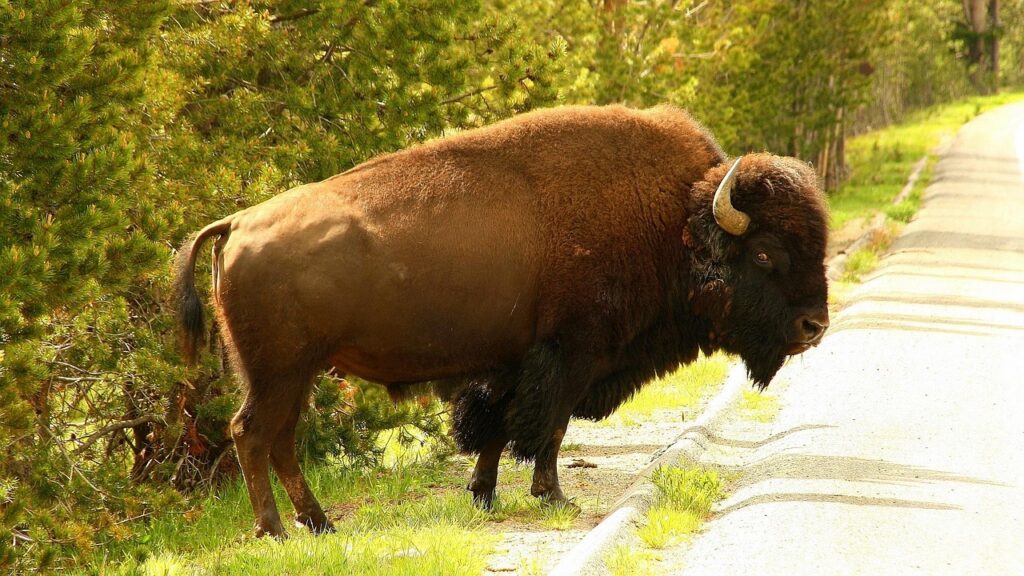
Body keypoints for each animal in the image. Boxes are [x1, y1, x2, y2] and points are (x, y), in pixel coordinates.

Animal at [174, 105, 829, 538]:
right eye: (765, 253)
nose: (814, 327)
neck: (675, 221)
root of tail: (235, 223)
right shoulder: (570, 355)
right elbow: (548, 428)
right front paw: (553, 498)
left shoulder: (511, 362)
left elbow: (496, 426)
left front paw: (483, 495)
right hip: (279, 372)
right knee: (252, 434)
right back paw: (276, 530)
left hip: (297, 374)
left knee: (278, 440)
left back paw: (319, 524)